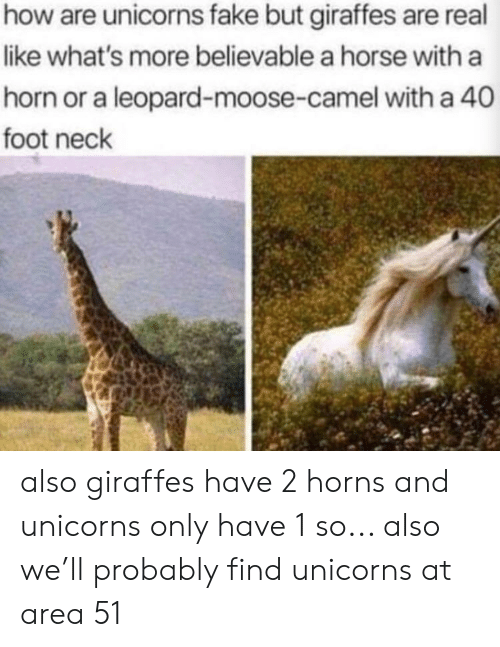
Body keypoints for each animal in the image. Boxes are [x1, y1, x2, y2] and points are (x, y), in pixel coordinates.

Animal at [46, 210, 187, 451]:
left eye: (69, 230)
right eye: (53, 230)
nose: (58, 245)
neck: (94, 347)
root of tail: (184, 386)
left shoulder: (111, 406)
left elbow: (114, 448)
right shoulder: (93, 408)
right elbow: (95, 449)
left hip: (175, 414)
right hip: (152, 416)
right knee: (159, 447)